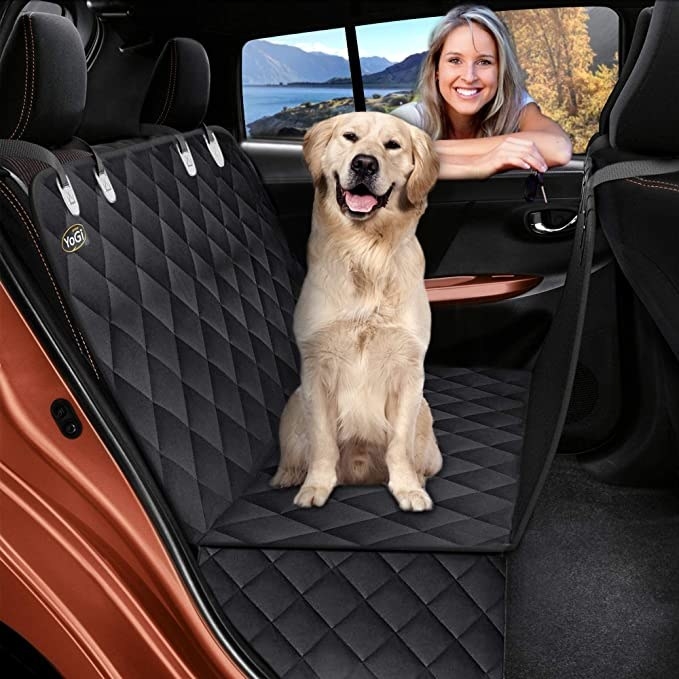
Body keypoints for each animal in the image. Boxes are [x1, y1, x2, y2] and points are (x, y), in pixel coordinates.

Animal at [274, 111, 444, 512]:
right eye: (349, 137)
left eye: (392, 145)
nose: (364, 164)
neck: (366, 251)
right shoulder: (316, 367)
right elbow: (323, 441)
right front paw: (315, 487)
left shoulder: (409, 370)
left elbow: (399, 444)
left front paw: (408, 488)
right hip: (294, 404)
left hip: (426, 420)